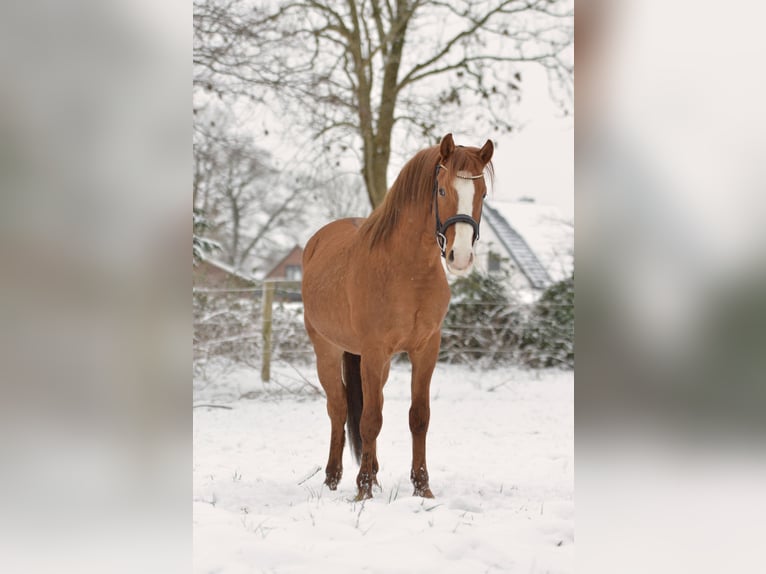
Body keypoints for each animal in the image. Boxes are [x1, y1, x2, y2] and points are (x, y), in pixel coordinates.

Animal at [304, 133, 496, 502]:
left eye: (481, 194)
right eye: (442, 191)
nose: (460, 256)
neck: (407, 271)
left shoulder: (425, 350)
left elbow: (417, 417)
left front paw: (422, 488)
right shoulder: (374, 350)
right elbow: (369, 420)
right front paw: (362, 491)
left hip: (379, 363)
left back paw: (374, 474)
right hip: (328, 351)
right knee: (338, 409)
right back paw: (334, 478)